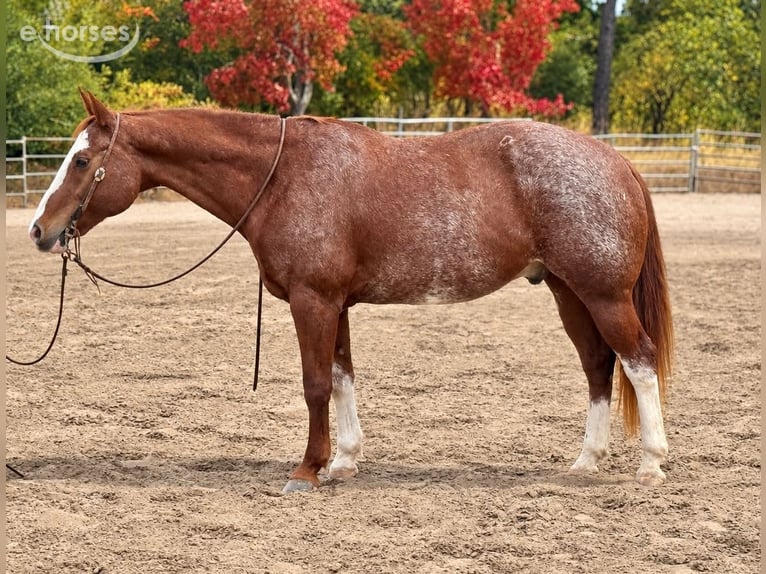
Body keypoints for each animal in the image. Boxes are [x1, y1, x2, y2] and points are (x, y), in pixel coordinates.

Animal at [29, 90, 673, 493]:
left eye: (82, 160)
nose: (39, 230)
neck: (283, 176)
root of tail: (616, 160)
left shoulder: (313, 300)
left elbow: (315, 384)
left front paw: (306, 469)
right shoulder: (333, 304)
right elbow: (341, 378)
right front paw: (343, 462)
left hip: (603, 295)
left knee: (637, 362)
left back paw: (650, 465)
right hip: (569, 293)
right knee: (598, 366)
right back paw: (586, 461)